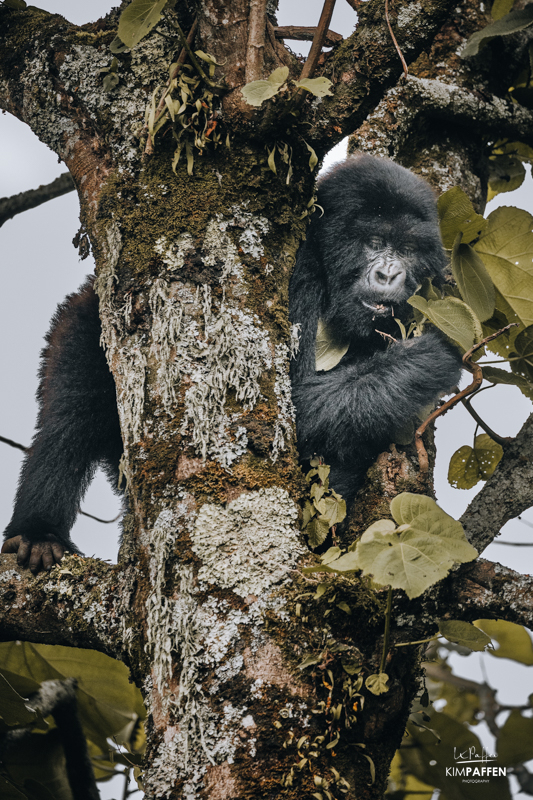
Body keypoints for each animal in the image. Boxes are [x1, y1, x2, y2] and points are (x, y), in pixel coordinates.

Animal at [288, 156, 460, 506]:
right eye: (375, 243)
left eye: (407, 249)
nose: (388, 274)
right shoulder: (301, 272)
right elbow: (294, 406)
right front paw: (425, 358)